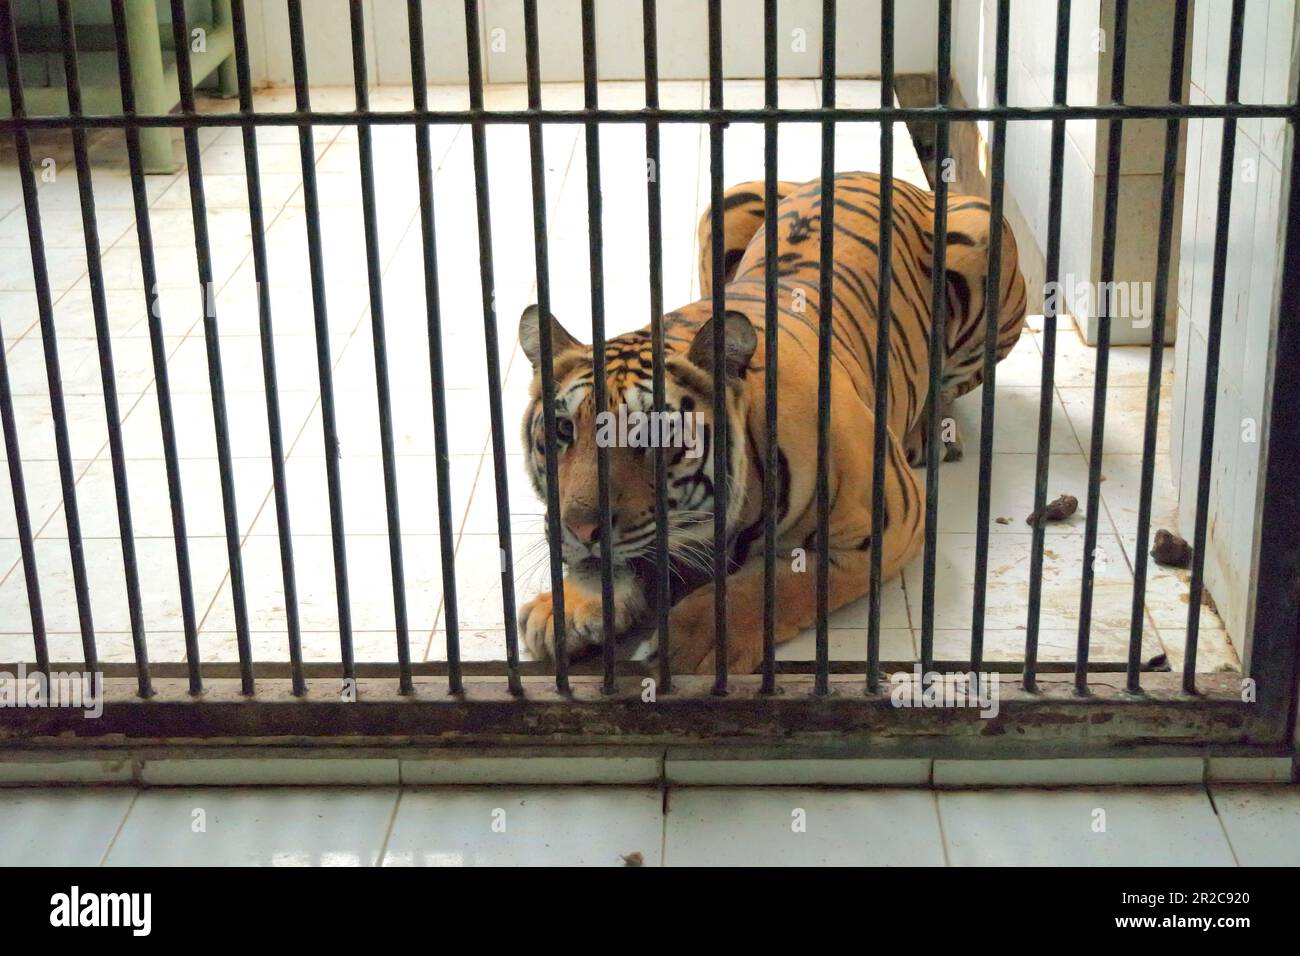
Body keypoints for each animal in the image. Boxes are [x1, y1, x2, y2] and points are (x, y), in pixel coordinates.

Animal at [514, 174, 1024, 681]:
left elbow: (774, 583)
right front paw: (565, 609)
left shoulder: (887, 523)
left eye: (651, 437)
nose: (579, 530)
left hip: (984, 237)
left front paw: (694, 641)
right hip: (727, 204)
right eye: (562, 431)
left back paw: (928, 430)